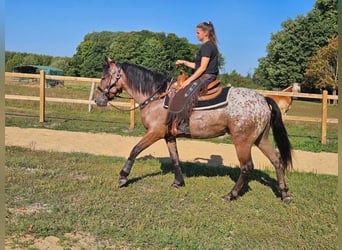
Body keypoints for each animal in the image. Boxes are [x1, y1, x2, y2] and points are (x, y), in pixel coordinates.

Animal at [95, 57, 292, 203]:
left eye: (104, 77)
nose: (98, 99)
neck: (156, 96)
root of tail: (263, 99)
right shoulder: (169, 136)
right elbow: (175, 158)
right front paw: (178, 182)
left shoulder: (155, 133)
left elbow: (134, 150)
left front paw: (123, 177)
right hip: (261, 139)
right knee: (277, 161)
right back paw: (284, 193)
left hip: (242, 142)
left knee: (246, 167)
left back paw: (230, 195)